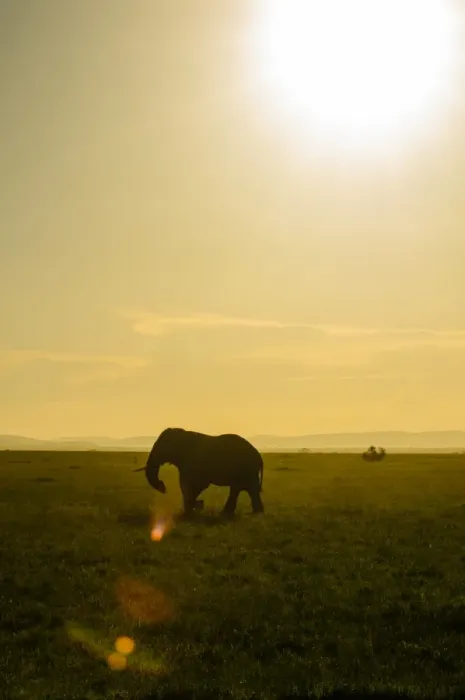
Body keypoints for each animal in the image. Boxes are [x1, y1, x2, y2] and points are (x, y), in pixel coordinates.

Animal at [134, 428, 264, 517]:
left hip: (246, 469)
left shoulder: (196, 462)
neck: (182, 434)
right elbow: (185, 484)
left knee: (245, 488)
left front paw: (192, 509)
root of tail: (259, 456)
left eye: (162, 447)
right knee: (241, 488)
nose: (163, 487)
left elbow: (196, 484)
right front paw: (193, 509)